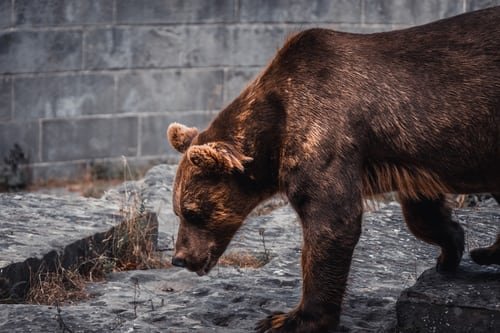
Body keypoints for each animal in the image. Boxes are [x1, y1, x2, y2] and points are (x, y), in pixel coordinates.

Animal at [166, 7, 498, 332]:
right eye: (177, 211)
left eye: (193, 212)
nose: (179, 258)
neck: (273, 134)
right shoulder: (408, 158)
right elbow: (422, 213)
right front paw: (451, 249)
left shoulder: (324, 132)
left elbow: (331, 223)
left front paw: (287, 319)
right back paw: (486, 252)